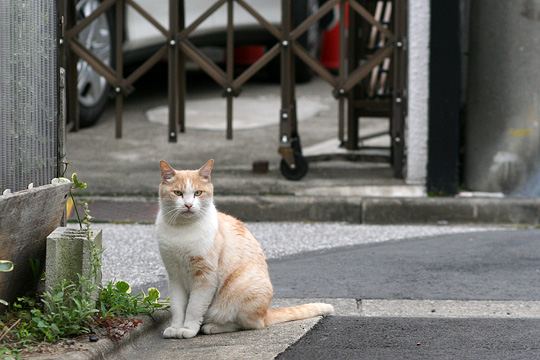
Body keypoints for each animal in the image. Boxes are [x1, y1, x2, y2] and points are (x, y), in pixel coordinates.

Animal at [155, 160, 334, 338]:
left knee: (248, 324)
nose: (188, 205)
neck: (182, 231)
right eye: (178, 193)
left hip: (241, 290)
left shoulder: (205, 277)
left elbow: (194, 307)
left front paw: (188, 329)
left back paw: (212, 327)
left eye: (198, 193)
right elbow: (178, 307)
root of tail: (265, 312)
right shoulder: (174, 276)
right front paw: (176, 328)